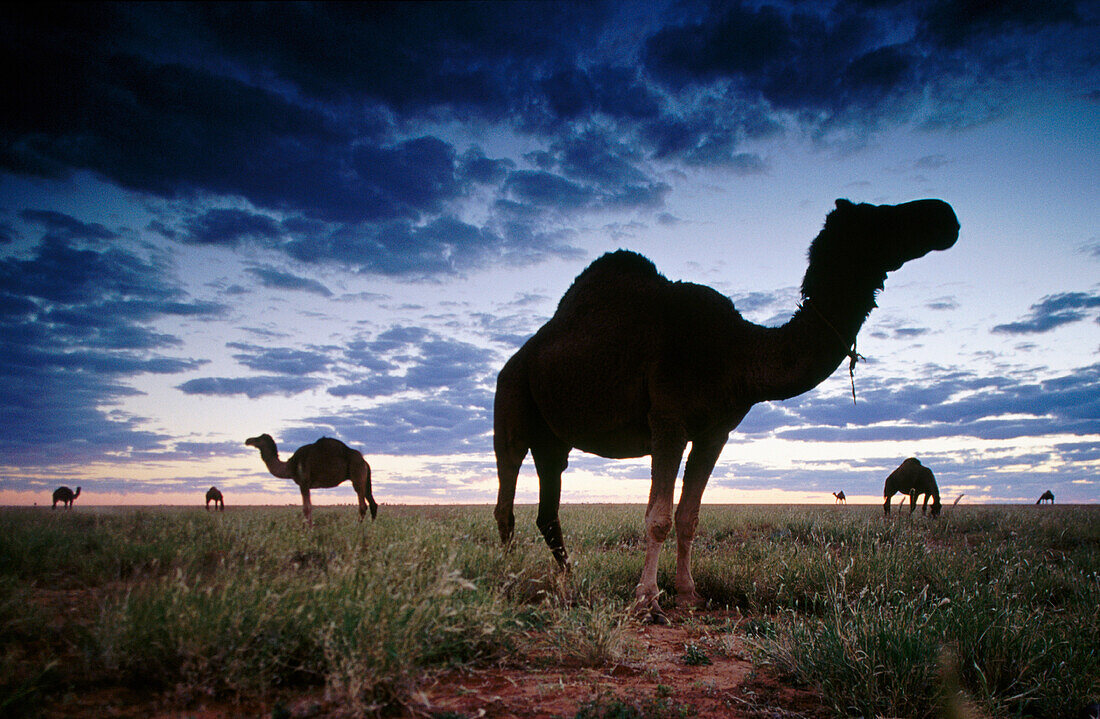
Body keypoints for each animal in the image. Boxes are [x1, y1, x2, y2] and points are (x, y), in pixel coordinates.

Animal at [245, 433, 378, 529]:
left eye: (259, 439)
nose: (247, 441)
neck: (290, 466)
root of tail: (364, 462)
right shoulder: (306, 485)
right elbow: (308, 507)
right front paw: (308, 527)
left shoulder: (303, 482)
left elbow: (306, 508)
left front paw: (307, 529)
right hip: (364, 479)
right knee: (372, 503)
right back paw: (372, 528)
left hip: (357, 475)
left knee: (363, 505)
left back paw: (356, 527)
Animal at [495, 198, 959, 624]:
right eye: (877, 218)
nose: (945, 217)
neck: (738, 352)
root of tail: (519, 357)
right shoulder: (668, 421)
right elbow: (659, 518)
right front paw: (646, 600)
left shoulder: (715, 431)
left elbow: (689, 517)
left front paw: (688, 594)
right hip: (512, 400)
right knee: (506, 493)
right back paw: (508, 579)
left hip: (552, 439)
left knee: (548, 509)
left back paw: (568, 580)